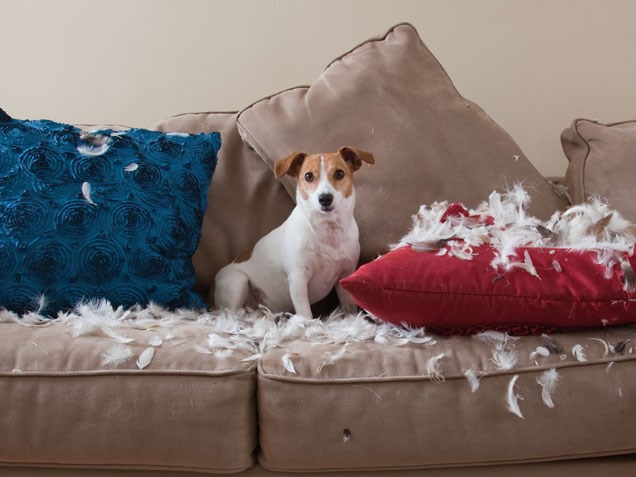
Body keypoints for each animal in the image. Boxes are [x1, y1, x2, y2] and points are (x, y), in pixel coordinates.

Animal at [215, 145, 372, 316]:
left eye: (339, 173)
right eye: (308, 176)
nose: (325, 198)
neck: (327, 229)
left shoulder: (345, 274)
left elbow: (349, 308)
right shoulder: (298, 279)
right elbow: (305, 313)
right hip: (236, 281)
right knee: (232, 313)